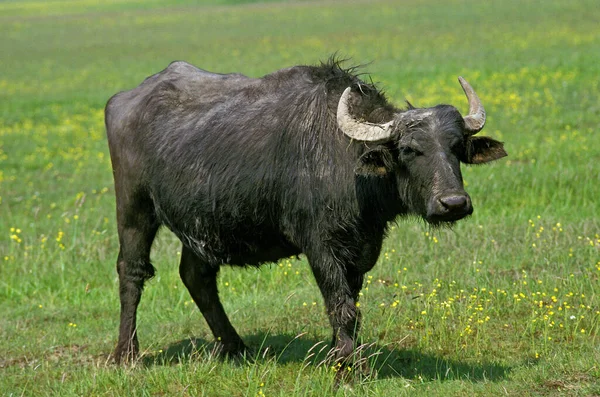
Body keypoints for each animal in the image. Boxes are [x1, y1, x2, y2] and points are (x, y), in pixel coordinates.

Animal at [104, 58, 506, 368]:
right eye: (409, 149)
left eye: (456, 146)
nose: (453, 204)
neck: (347, 161)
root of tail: (125, 99)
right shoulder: (320, 245)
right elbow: (341, 305)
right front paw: (348, 366)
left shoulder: (360, 248)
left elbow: (348, 302)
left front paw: (339, 353)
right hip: (134, 206)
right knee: (132, 271)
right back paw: (127, 354)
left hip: (202, 222)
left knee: (196, 276)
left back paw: (235, 347)